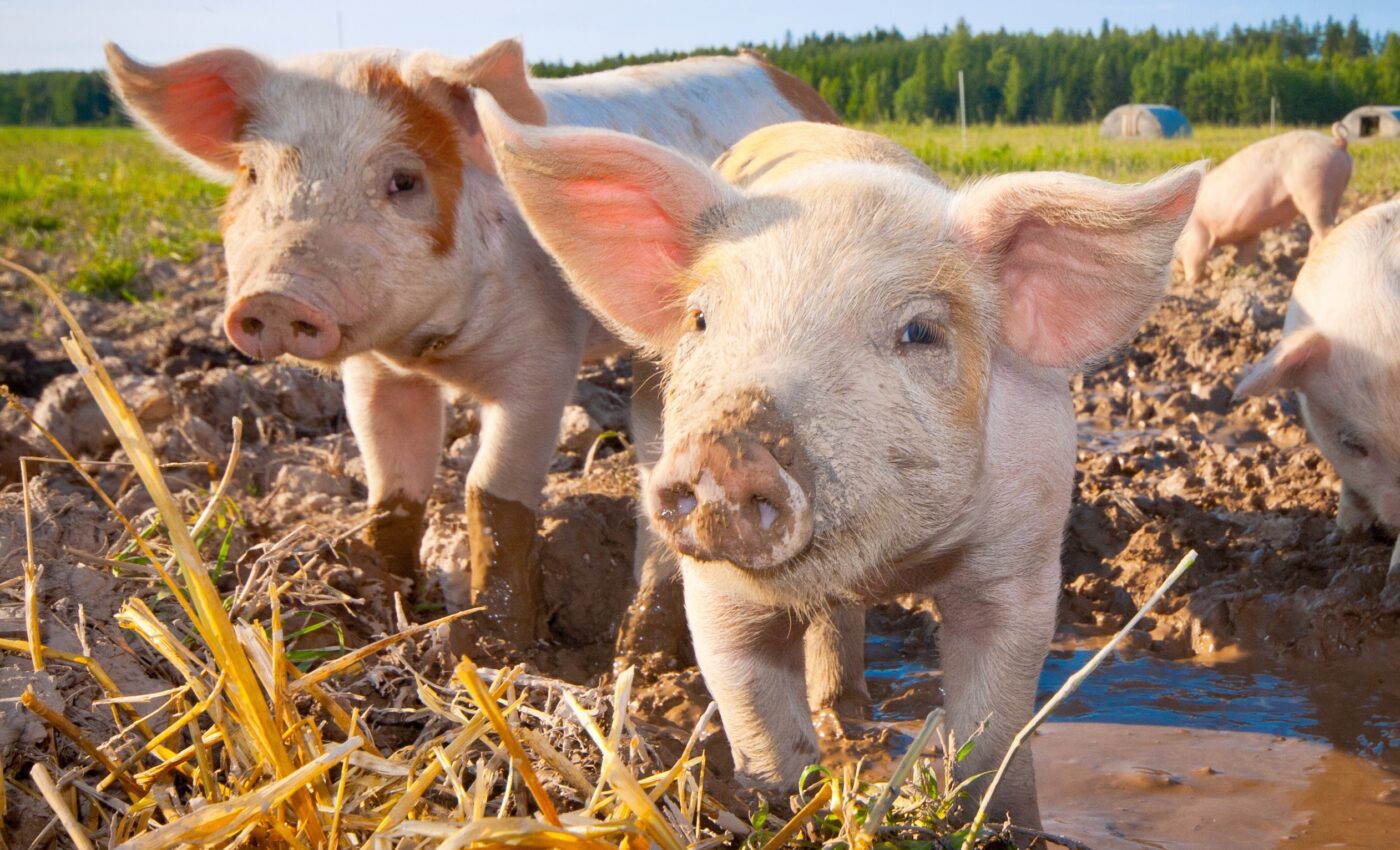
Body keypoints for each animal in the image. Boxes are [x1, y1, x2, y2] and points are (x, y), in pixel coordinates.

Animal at [104, 38, 838, 642]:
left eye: (403, 180)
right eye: (253, 176)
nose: (276, 298)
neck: (434, 351)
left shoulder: (544, 360)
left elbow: (492, 491)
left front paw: (497, 645)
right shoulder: (375, 373)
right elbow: (391, 486)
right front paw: (384, 601)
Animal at [480, 109, 1202, 827]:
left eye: (920, 332)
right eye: (701, 318)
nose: (725, 451)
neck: (889, 562)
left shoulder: (1022, 554)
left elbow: (995, 725)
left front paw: (1005, 823)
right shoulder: (718, 593)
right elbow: (755, 707)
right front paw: (782, 801)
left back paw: (849, 712)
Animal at [1177, 125, 1352, 284]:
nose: (1177, 273)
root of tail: (1337, 142)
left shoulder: (1197, 233)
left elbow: (1195, 260)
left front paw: (1193, 284)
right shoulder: (1247, 233)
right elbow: (1247, 256)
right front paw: (1243, 273)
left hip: (1314, 190)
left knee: (1326, 229)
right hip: (1335, 195)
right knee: (1318, 234)